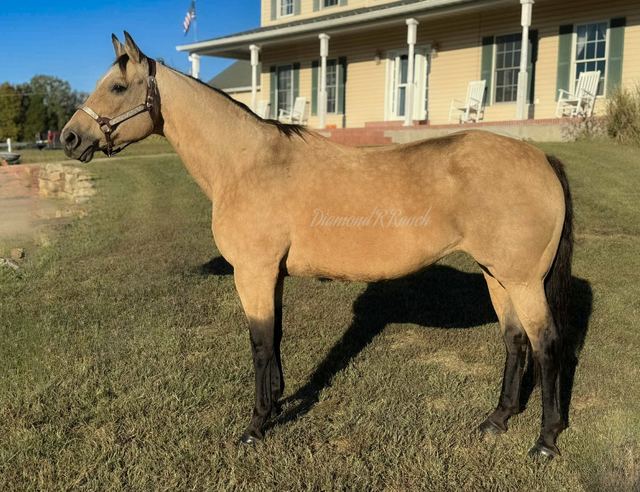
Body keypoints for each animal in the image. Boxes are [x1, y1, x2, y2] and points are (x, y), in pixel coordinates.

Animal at [62, 32, 574, 459]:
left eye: (118, 87)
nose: (69, 137)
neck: (247, 163)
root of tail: (541, 158)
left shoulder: (253, 272)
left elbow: (259, 343)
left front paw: (257, 425)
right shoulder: (271, 275)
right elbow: (275, 337)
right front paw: (278, 402)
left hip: (524, 282)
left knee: (547, 345)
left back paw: (545, 441)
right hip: (498, 276)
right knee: (514, 341)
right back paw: (497, 420)